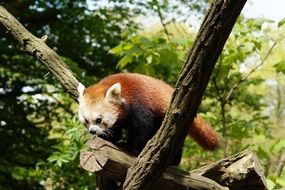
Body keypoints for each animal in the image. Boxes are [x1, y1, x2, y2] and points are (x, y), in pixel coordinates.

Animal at [77, 72, 217, 165]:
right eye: (86, 121)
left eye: (99, 119)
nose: (92, 131)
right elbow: (116, 128)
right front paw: (110, 138)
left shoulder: (141, 104)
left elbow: (142, 129)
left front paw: (132, 148)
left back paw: (174, 161)